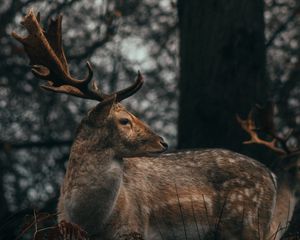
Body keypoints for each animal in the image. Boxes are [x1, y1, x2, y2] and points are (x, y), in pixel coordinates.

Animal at [12, 9, 278, 240]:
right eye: (124, 120)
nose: (163, 142)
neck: (91, 221)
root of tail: (272, 177)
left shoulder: (134, 228)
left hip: (247, 223)